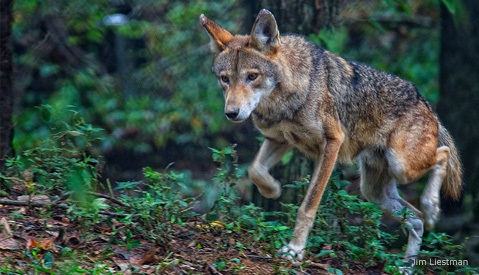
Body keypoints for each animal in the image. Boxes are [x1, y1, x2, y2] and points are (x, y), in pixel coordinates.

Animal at [200, 9, 462, 270]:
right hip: (374, 192)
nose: (231, 113)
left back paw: (431, 207)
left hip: (402, 166)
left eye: (252, 76)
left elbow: (308, 205)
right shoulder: (278, 139)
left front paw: (295, 249)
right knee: (416, 220)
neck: (283, 99)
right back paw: (406, 266)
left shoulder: (332, 144)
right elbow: (255, 170)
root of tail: (425, 102)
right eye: (225, 79)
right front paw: (272, 190)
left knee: (443, 154)